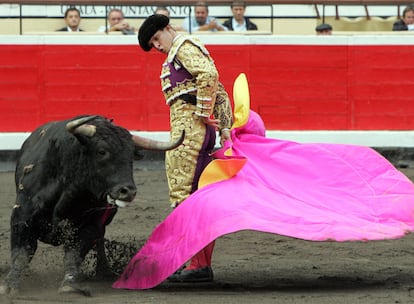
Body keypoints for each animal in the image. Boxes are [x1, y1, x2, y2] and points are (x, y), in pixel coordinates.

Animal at [0, 114, 183, 294]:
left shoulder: (90, 224)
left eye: (131, 155)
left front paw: (69, 284)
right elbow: (21, 253)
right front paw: (9, 284)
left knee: (100, 239)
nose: (128, 191)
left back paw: (103, 272)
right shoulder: (22, 216)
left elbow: (74, 253)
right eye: (102, 151)